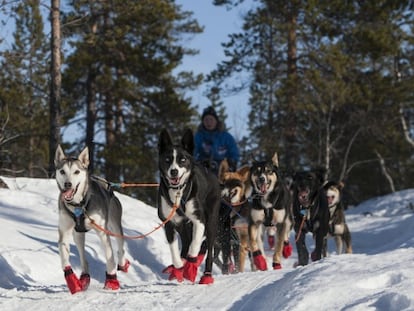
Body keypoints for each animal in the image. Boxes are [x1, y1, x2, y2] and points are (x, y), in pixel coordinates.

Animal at [55, 145, 129, 294]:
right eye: (62, 171)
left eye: (77, 171)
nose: (68, 184)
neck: (79, 205)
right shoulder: (65, 232)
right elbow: (64, 258)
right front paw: (72, 281)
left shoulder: (103, 232)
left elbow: (110, 257)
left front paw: (111, 281)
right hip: (78, 235)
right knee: (83, 257)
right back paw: (84, 277)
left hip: (115, 226)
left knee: (120, 248)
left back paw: (123, 264)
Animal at [157, 129, 220, 286]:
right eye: (167, 159)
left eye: (183, 159)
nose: (174, 171)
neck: (178, 192)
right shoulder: (169, 223)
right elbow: (174, 250)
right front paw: (179, 266)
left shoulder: (199, 220)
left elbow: (195, 243)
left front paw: (191, 263)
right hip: (182, 226)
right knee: (185, 243)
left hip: (212, 221)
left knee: (208, 249)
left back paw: (206, 275)